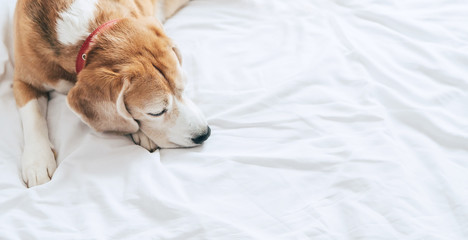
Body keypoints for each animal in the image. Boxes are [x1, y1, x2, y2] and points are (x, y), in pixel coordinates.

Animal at [13, 0, 210, 188]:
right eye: (156, 112)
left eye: (183, 88)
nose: (205, 134)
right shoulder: (22, 80)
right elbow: (33, 116)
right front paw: (37, 161)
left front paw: (142, 134)